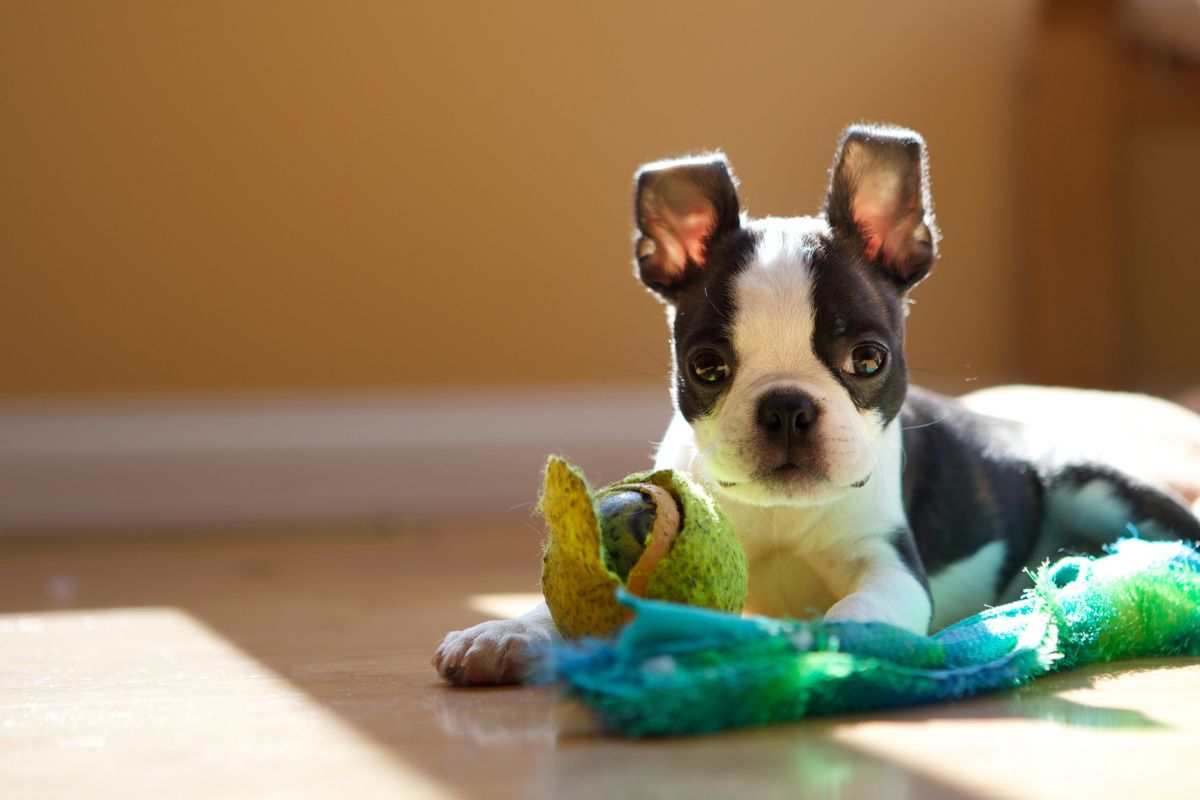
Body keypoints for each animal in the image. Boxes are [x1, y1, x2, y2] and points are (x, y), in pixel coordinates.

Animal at [432, 122, 1200, 686]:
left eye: (868, 359)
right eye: (707, 368)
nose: (787, 409)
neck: (781, 515)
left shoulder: (887, 563)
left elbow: (863, 605)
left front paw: (831, 642)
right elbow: (564, 598)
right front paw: (504, 630)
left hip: (1093, 486)